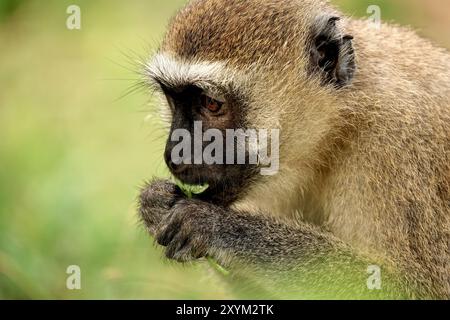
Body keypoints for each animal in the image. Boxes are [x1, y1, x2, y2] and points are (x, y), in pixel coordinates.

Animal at [139, 0, 448, 298]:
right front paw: (155, 201)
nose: (175, 155)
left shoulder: (396, 145)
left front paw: (213, 225)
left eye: (211, 103)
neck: (338, 124)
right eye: (174, 99)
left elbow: (405, 287)